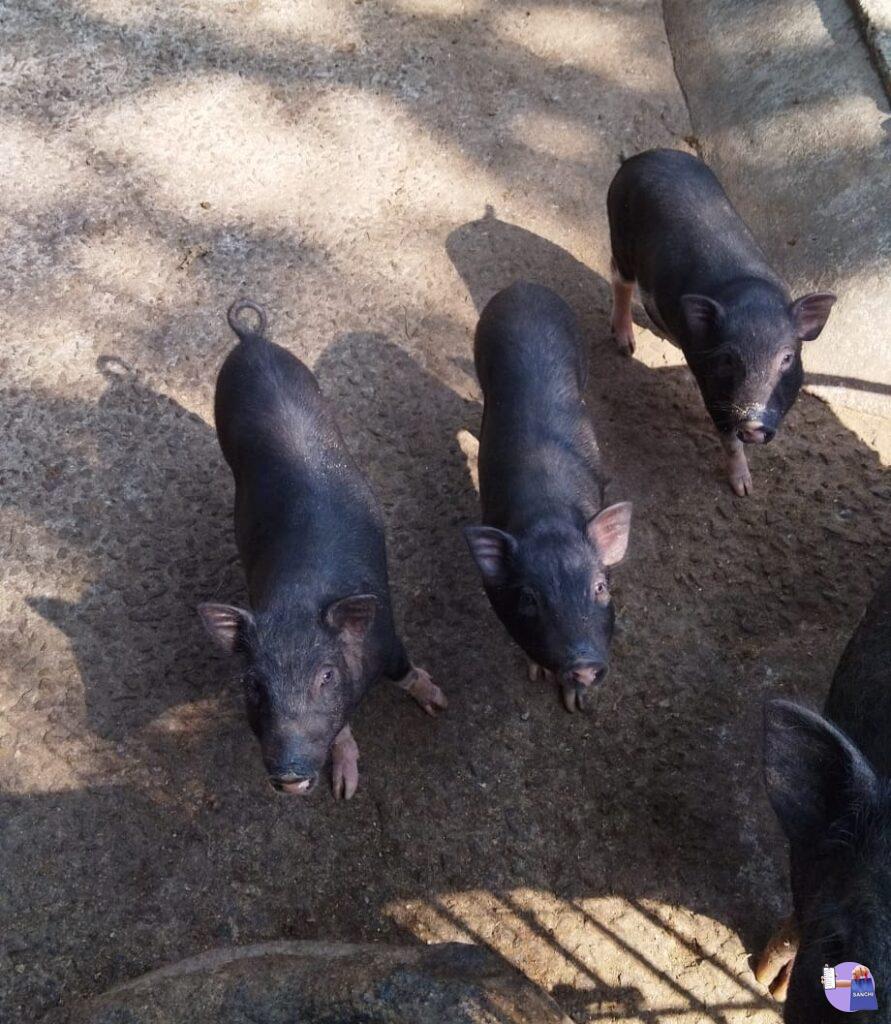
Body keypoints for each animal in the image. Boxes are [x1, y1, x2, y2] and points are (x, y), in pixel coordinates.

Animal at [198, 300, 446, 799]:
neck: (298, 597)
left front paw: (440, 703)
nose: (290, 776)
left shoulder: (386, 634)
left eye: (326, 676)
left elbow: (405, 671)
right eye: (253, 684)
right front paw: (346, 788)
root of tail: (251, 341)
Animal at [464, 282, 632, 713]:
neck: (549, 514)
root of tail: (523, 287)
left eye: (600, 587)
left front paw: (575, 704)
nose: (583, 665)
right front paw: (538, 674)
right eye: (529, 599)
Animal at [607, 148, 836, 496]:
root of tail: (639, 157)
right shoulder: (710, 383)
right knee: (620, 280)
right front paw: (744, 490)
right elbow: (728, 437)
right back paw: (625, 347)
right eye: (728, 359)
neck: (750, 295)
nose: (754, 423)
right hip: (619, 232)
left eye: (787, 358)